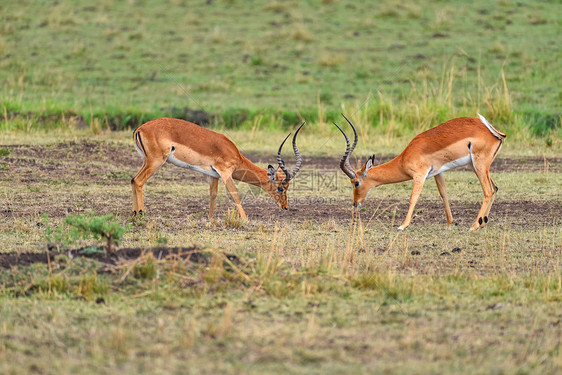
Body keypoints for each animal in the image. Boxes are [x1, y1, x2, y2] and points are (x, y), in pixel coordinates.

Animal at [130, 119, 304, 220]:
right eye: (281, 187)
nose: (285, 207)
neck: (236, 155)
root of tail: (140, 128)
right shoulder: (225, 173)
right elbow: (235, 195)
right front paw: (246, 220)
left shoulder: (213, 175)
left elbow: (213, 195)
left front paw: (211, 219)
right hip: (155, 161)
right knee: (138, 181)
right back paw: (142, 213)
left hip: (146, 161)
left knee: (132, 180)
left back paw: (134, 213)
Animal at [332, 114, 504, 232]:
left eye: (356, 182)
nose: (355, 203)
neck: (405, 157)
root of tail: (496, 133)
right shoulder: (438, 173)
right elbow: (444, 195)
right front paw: (449, 224)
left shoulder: (419, 175)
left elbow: (413, 198)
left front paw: (402, 226)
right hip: (479, 167)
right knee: (495, 188)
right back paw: (482, 223)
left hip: (479, 165)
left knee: (488, 191)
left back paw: (474, 226)